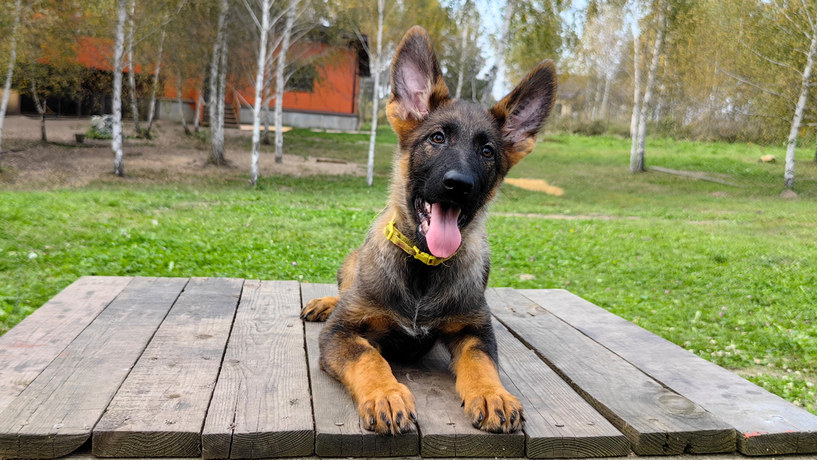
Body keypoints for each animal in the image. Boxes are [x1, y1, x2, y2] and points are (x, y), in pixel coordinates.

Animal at [301, 26, 556, 435]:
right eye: (437, 138)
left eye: (487, 151)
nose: (459, 185)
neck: (423, 269)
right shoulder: (341, 334)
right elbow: (368, 357)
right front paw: (386, 394)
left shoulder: (474, 329)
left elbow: (481, 361)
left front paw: (493, 394)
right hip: (351, 264)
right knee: (344, 291)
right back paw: (326, 302)